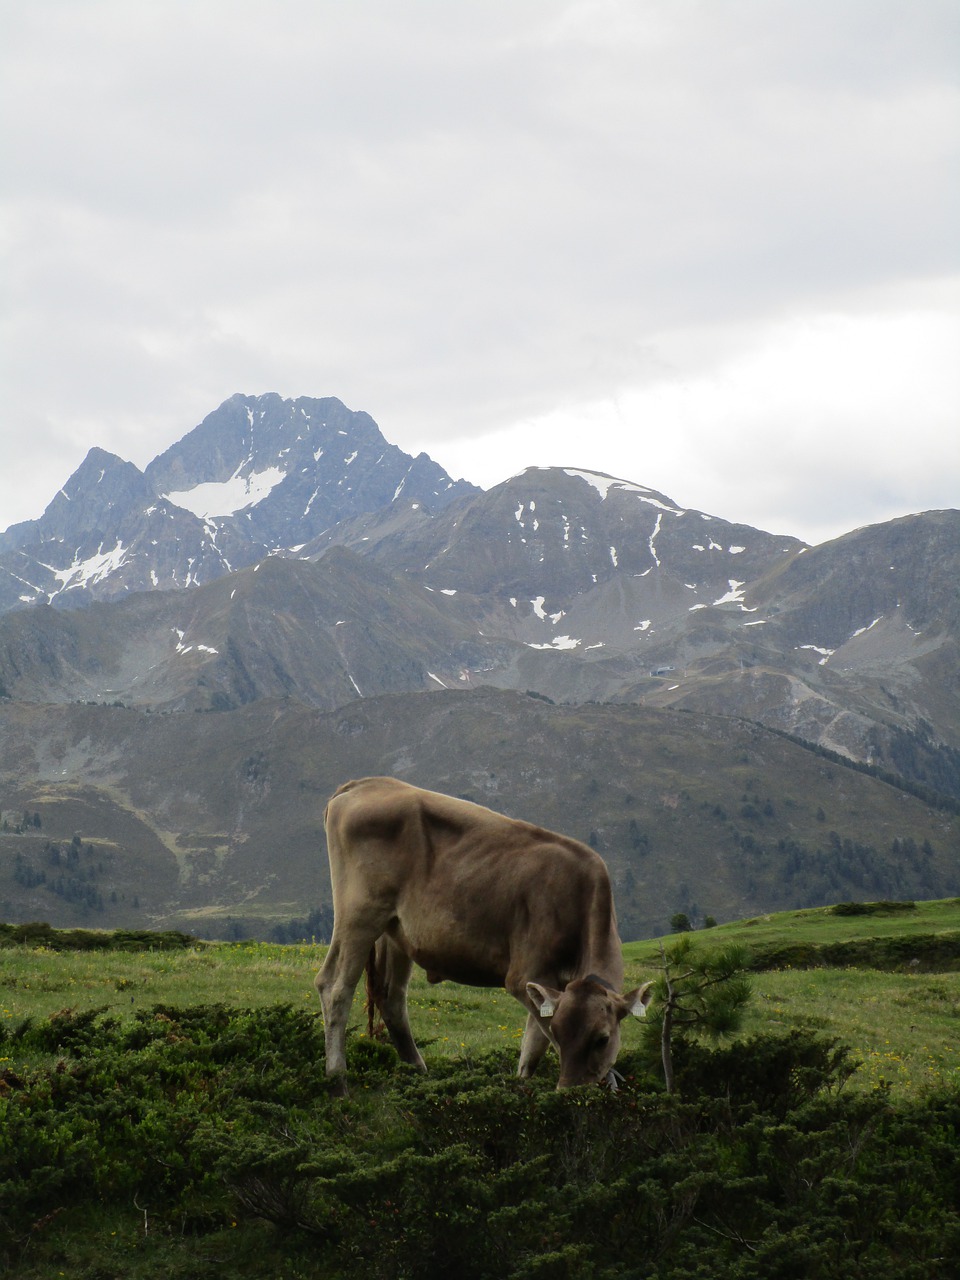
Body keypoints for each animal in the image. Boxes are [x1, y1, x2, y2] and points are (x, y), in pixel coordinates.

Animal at [316, 778, 655, 1090]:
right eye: (560, 1033)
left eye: (602, 1038)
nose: (569, 1090)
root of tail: (363, 784)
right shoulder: (525, 974)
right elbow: (539, 1039)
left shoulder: (548, 985)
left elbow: (532, 1044)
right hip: (359, 913)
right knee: (334, 986)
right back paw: (337, 1079)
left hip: (395, 931)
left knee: (391, 996)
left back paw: (418, 1072)